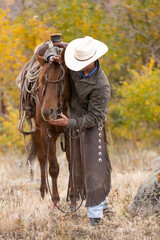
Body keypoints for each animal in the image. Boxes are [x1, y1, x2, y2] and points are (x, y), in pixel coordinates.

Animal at [27, 48, 73, 206]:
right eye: (42, 82)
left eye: (61, 81)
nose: (47, 112)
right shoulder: (48, 133)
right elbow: (53, 167)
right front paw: (56, 199)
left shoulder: (70, 131)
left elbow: (72, 162)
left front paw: (73, 196)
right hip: (36, 132)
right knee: (42, 157)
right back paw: (43, 190)